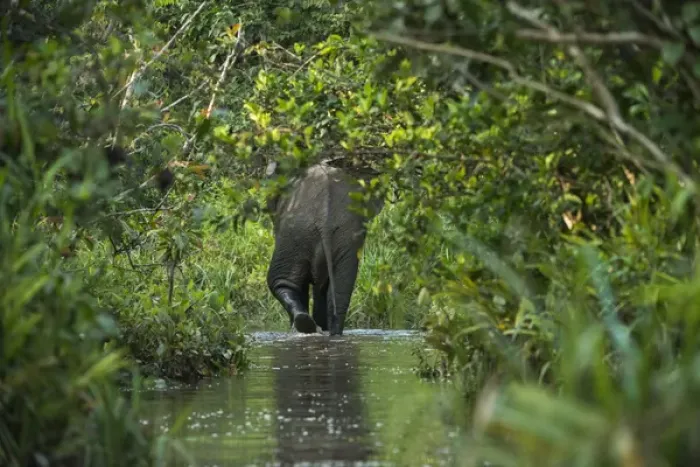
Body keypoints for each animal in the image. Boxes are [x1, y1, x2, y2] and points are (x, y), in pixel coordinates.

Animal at [265, 161, 384, 336]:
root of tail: (324, 217)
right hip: (345, 237)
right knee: (339, 291)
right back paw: (330, 333)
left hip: (296, 233)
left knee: (281, 282)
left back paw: (305, 326)